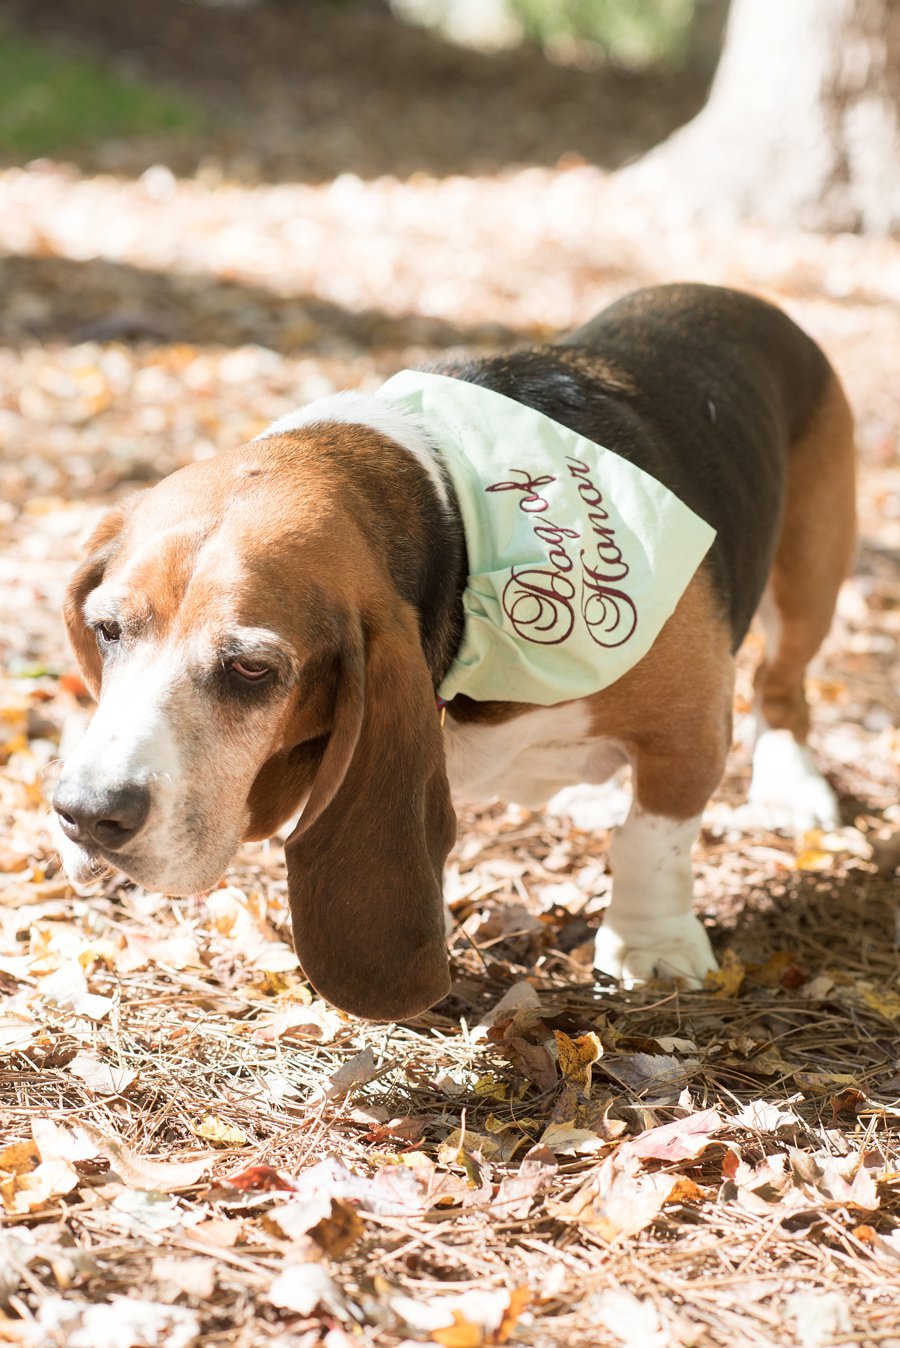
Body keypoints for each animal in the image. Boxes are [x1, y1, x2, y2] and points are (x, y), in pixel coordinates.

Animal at [52, 287, 856, 1019]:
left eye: (253, 669)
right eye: (107, 630)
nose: (86, 814)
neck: (454, 516)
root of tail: (746, 300)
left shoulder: (687, 724)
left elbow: (650, 840)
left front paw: (650, 947)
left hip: (808, 581)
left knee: (782, 688)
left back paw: (790, 785)